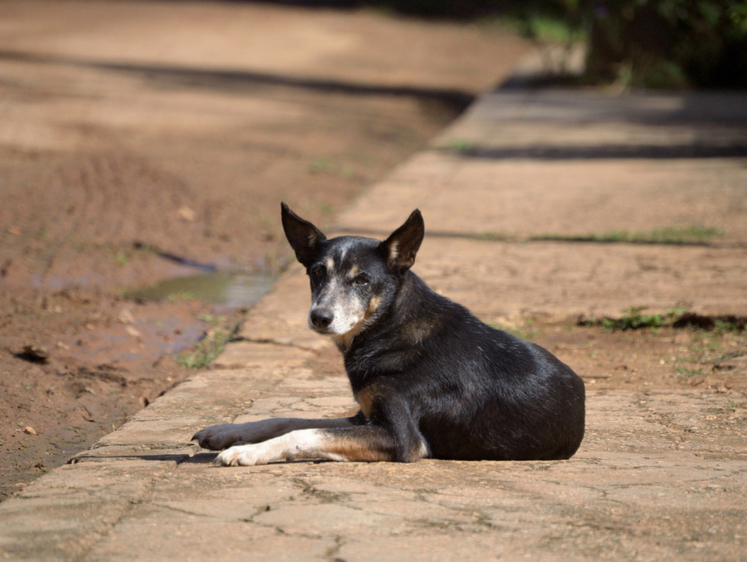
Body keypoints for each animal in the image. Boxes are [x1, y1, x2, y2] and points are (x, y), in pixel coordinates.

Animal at [191, 201, 584, 464]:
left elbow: (304, 433)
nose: (319, 317)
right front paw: (224, 432)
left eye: (362, 281)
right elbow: (288, 419)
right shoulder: (363, 415)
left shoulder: (401, 438)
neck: (389, 328)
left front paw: (246, 452)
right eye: (317, 273)